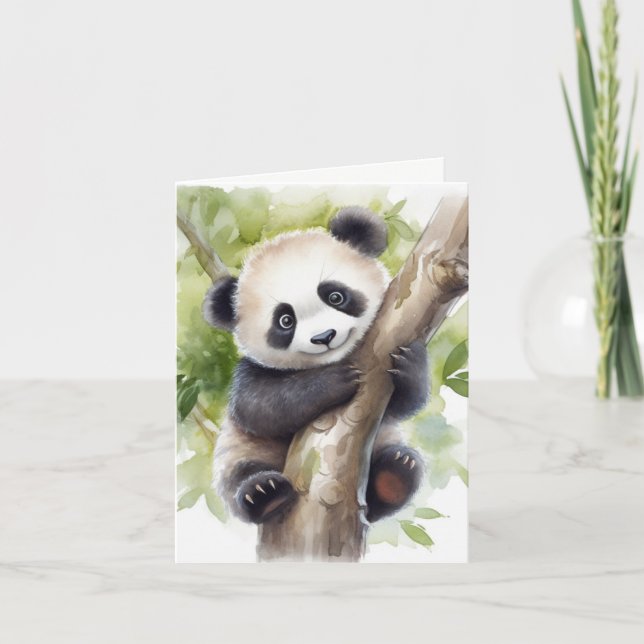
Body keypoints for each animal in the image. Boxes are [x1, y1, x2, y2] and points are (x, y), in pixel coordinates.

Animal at [203, 206, 429, 524]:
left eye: (335, 296)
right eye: (286, 320)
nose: (324, 337)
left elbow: (401, 405)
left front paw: (410, 364)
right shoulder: (251, 372)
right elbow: (260, 409)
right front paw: (336, 380)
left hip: (382, 442)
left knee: (393, 475)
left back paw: (395, 476)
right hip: (240, 452)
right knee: (241, 476)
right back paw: (264, 493)